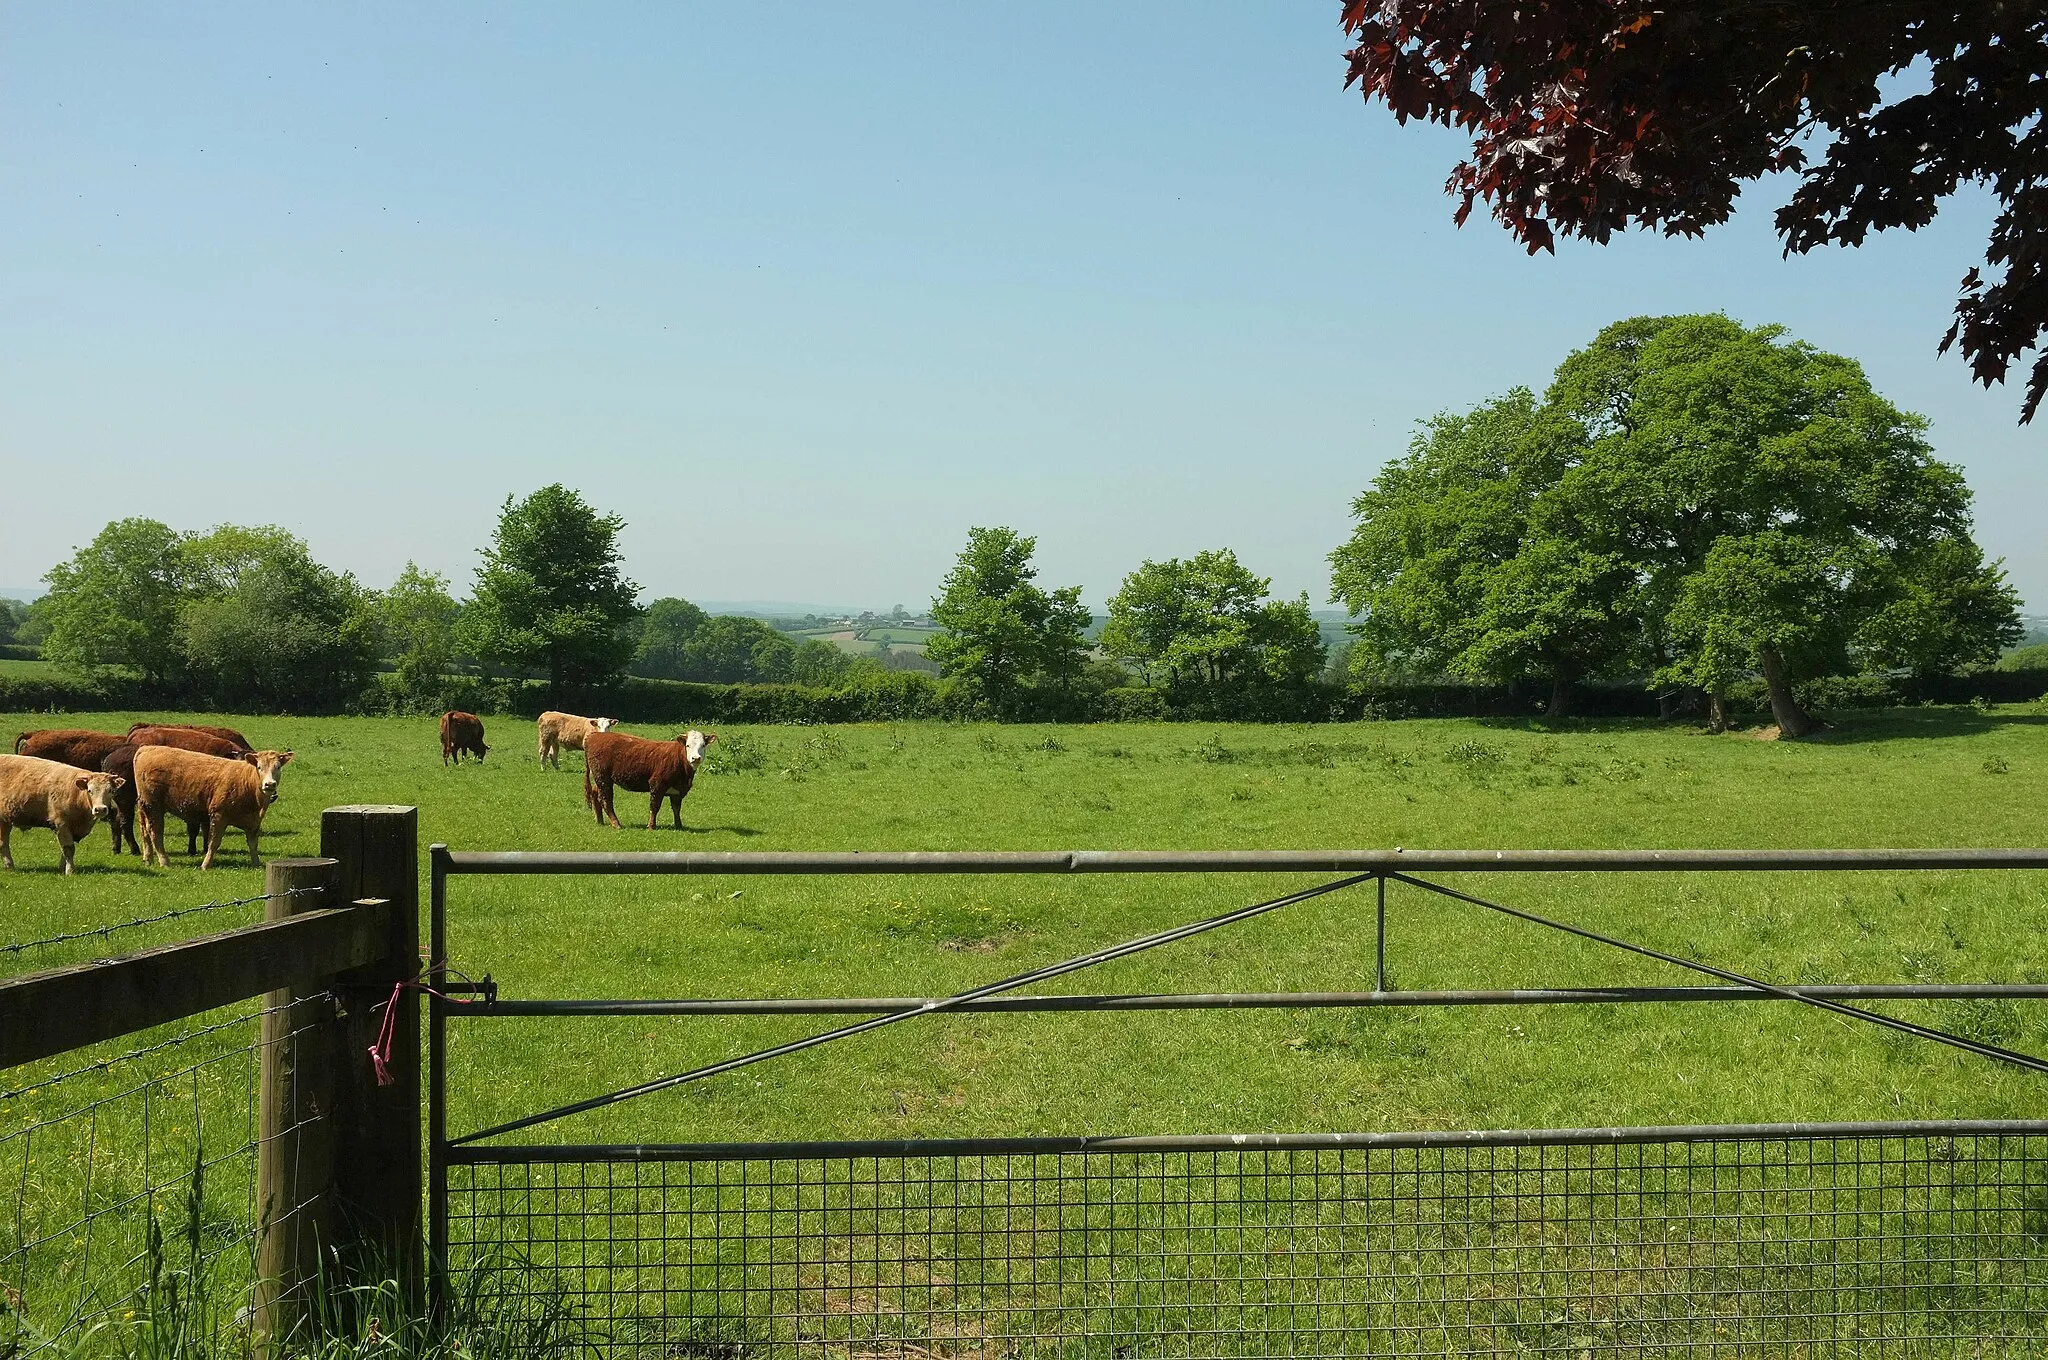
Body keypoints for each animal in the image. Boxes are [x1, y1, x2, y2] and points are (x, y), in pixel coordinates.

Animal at [135, 745, 296, 872]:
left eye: (278, 767)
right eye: (259, 767)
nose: (270, 784)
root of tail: (146, 748)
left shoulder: (254, 822)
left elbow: (253, 844)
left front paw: (256, 864)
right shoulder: (219, 816)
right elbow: (214, 843)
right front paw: (206, 865)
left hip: (145, 807)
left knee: (145, 831)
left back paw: (148, 858)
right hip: (153, 806)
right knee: (155, 833)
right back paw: (164, 861)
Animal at [581, 733, 716, 827]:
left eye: (703, 745)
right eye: (688, 745)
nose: (696, 758)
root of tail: (593, 735)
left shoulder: (678, 791)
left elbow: (676, 809)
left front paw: (679, 825)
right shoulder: (657, 784)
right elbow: (654, 806)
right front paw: (651, 826)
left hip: (601, 779)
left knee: (595, 793)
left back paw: (600, 821)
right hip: (603, 778)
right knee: (606, 800)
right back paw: (616, 824)